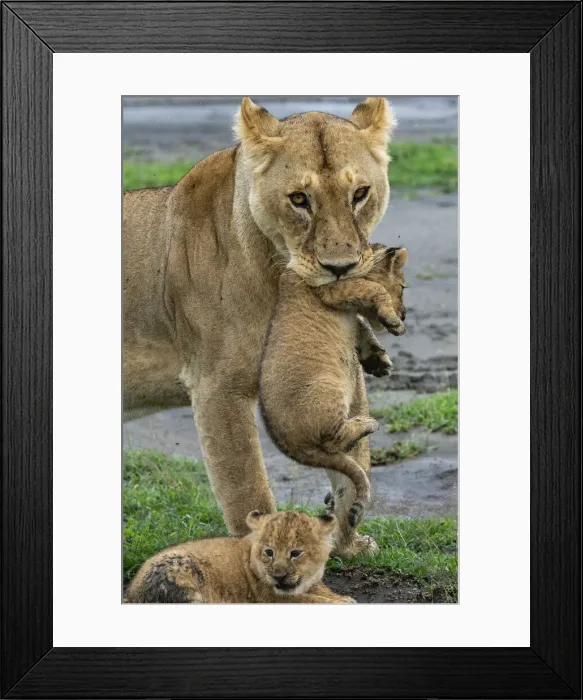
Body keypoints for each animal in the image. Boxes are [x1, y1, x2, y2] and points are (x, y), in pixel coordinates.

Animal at [125, 510, 355, 604]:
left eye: (295, 553)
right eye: (269, 552)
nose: (278, 577)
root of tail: (131, 593)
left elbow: (321, 592)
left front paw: (342, 597)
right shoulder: (270, 598)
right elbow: (312, 600)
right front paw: (344, 602)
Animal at [259, 245, 407, 538]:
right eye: (403, 287)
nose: (406, 314)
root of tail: (287, 444)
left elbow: (361, 322)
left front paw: (378, 360)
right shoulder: (331, 290)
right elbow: (373, 288)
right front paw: (393, 322)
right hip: (330, 386)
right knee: (333, 441)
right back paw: (366, 423)